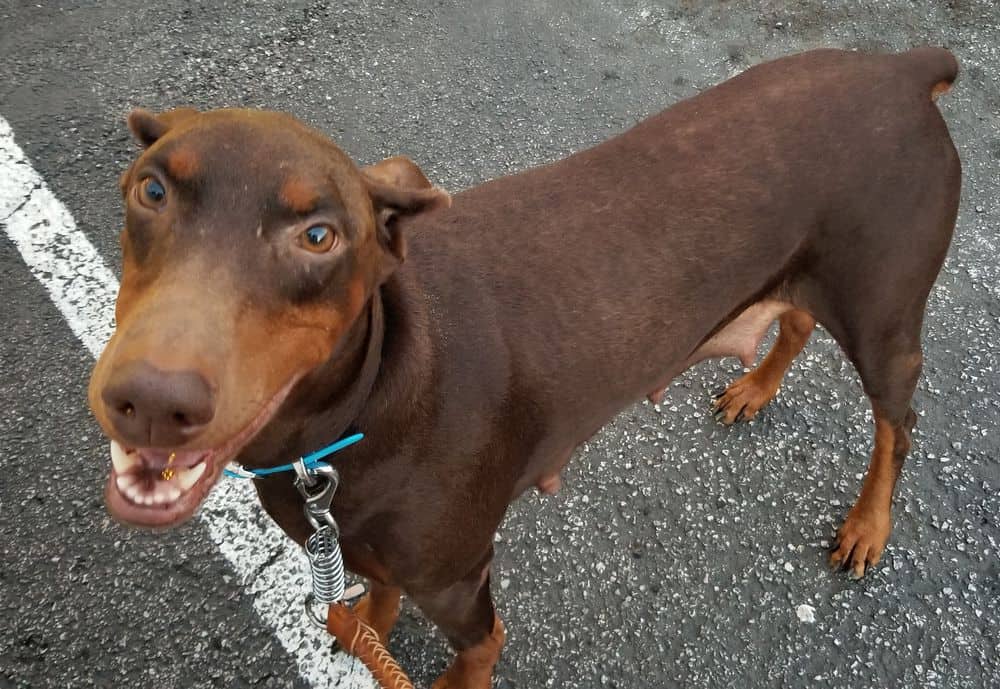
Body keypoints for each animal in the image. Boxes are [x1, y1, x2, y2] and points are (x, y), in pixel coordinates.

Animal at [88, 47, 960, 688]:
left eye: (318, 236)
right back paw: (756, 385)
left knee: (899, 423)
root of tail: (900, 67)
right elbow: (378, 592)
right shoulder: (364, 544)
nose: (151, 398)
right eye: (151, 189)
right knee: (800, 316)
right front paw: (367, 624)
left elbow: (480, 647)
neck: (368, 401)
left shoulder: (461, 578)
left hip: (884, 314)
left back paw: (868, 524)